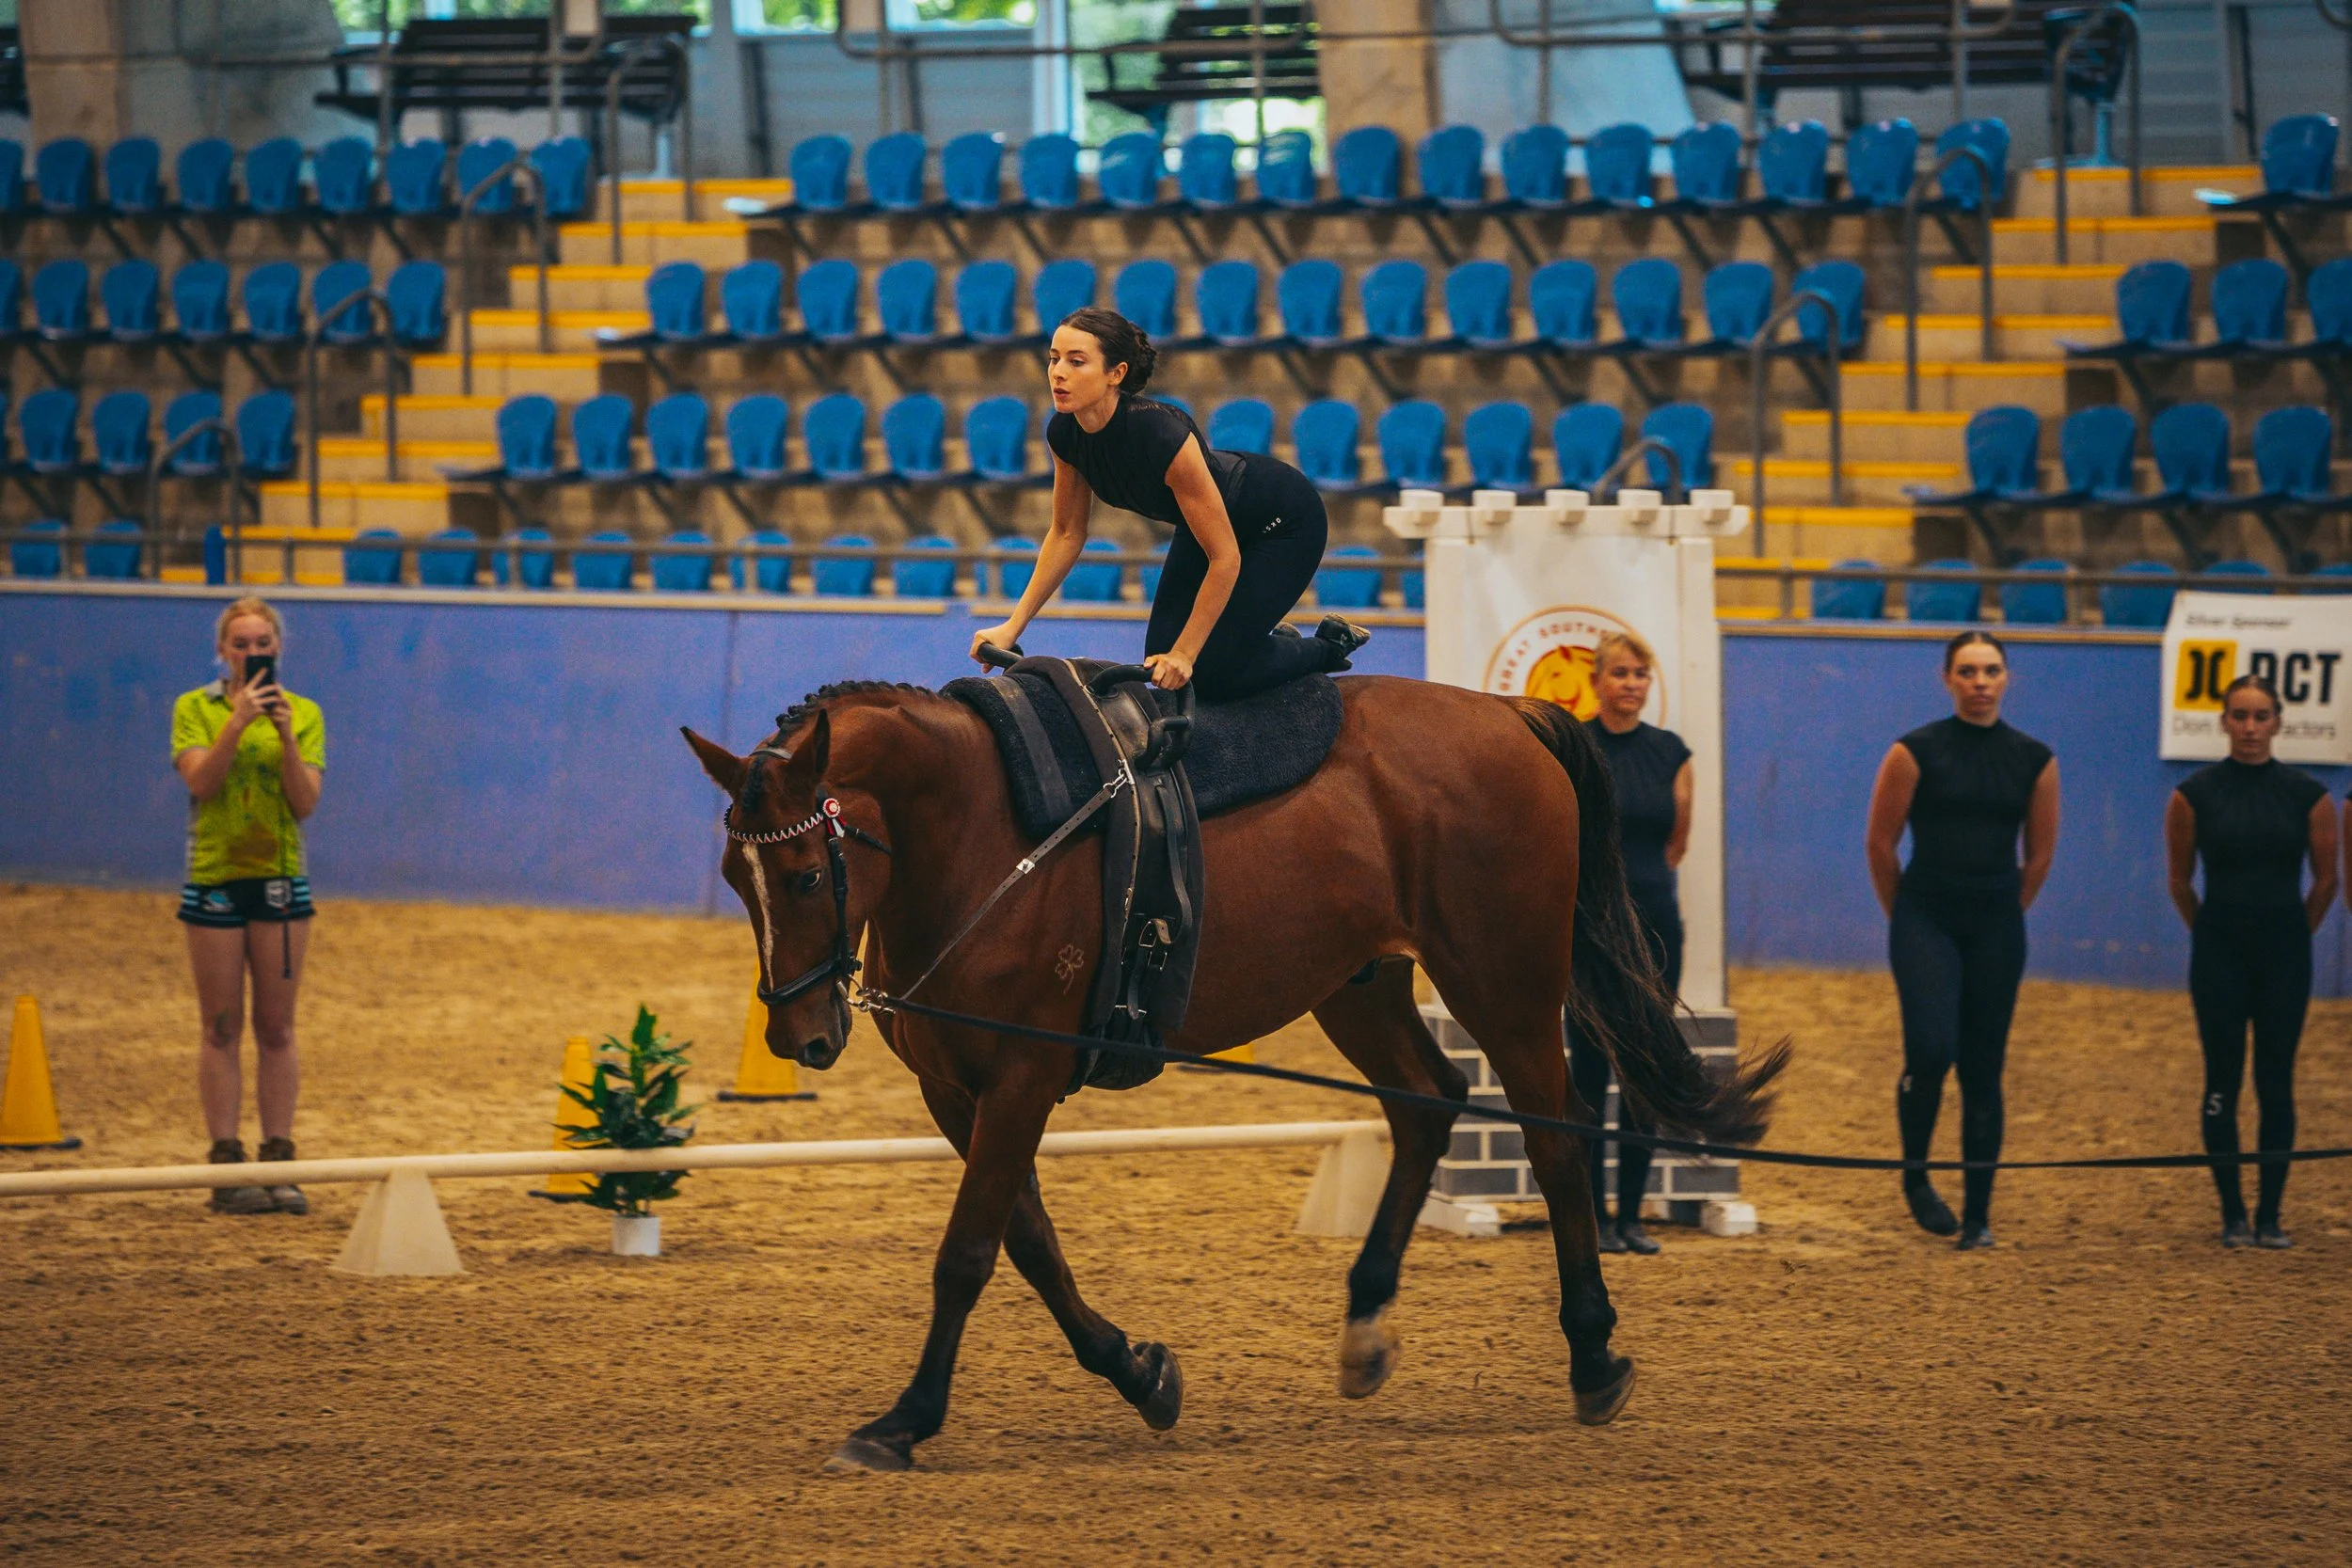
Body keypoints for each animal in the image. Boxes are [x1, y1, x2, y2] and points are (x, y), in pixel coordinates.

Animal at [682, 672, 1784, 1475]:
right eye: (736, 875)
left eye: (806, 874)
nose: (801, 1035)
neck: (984, 833)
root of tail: (1506, 712)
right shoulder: (956, 1091)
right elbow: (1031, 1243)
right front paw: (1140, 1371)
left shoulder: (1022, 1077)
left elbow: (967, 1253)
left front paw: (904, 1418)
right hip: (1359, 983)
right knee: (1429, 1103)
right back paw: (1366, 1326)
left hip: (1500, 982)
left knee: (1552, 1137)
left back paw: (1593, 1354)